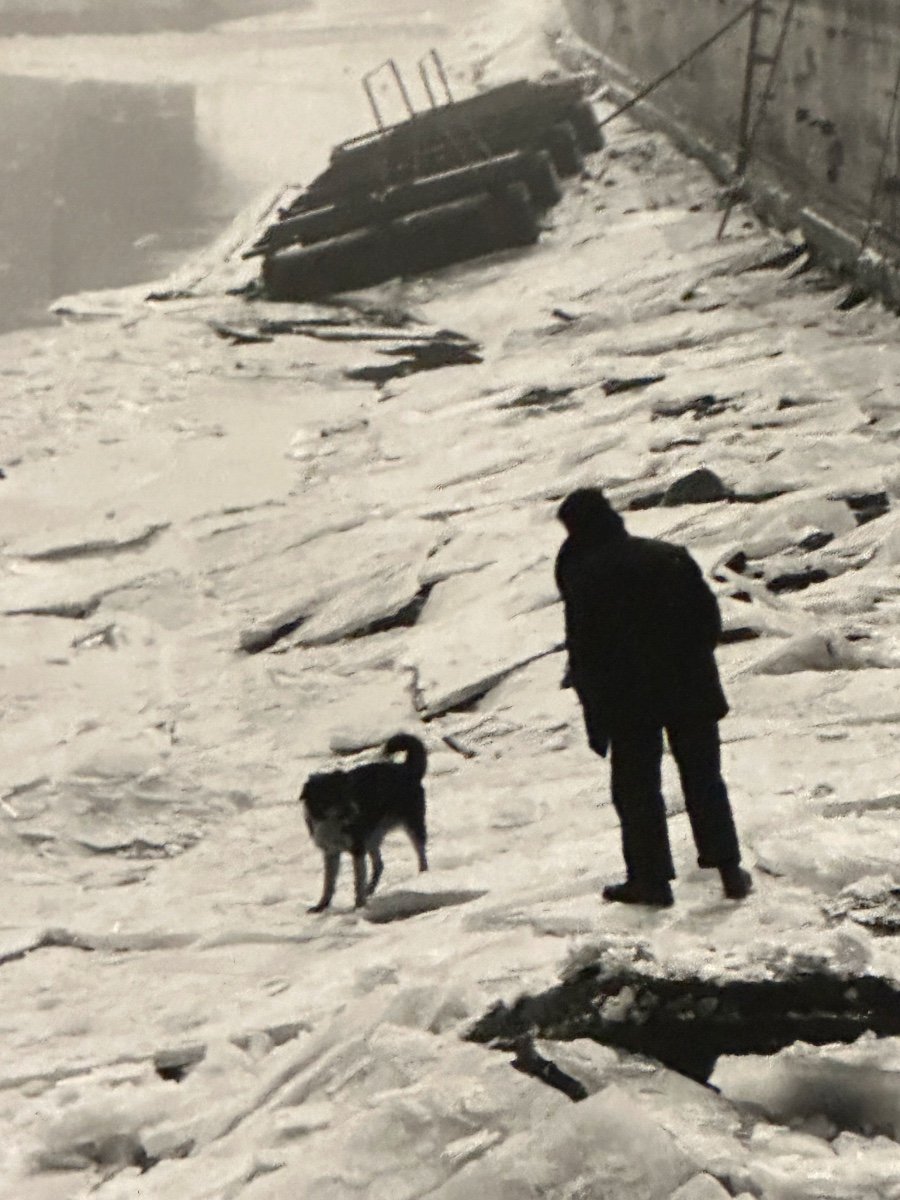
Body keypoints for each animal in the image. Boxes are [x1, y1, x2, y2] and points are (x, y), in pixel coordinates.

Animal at [301, 729, 427, 907]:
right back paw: (370, 889)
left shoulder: (357, 849)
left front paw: (359, 904)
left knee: (421, 853)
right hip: (373, 837)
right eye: (334, 797)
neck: (331, 823)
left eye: (348, 793)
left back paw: (424, 876)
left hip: (412, 825)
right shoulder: (331, 852)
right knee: (379, 865)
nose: (356, 811)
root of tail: (406, 769)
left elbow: (358, 880)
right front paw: (322, 905)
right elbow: (329, 883)